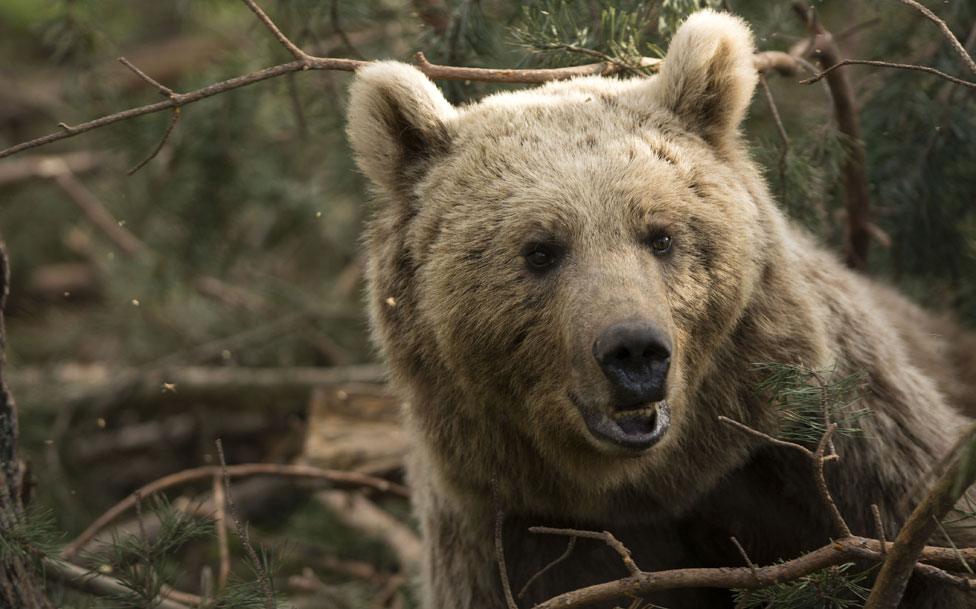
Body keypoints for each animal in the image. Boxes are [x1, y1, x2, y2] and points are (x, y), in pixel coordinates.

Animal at [344, 9, 976, 608]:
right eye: (540, 250)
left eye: (661, 235)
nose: (634, 351)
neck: (658, 484)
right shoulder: (517, 536)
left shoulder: (837, 451)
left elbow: (939, 552)